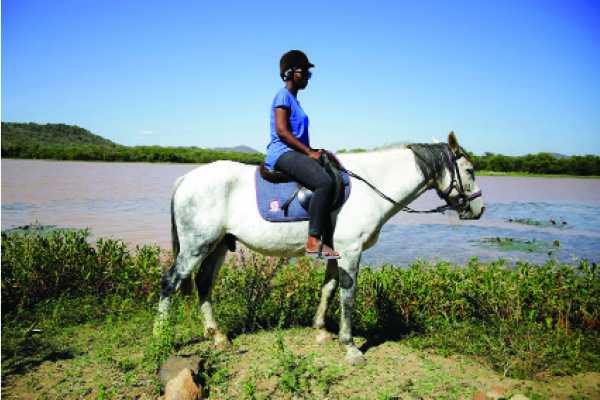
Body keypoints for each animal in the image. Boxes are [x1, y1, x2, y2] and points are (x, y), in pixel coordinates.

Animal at [154, 133, 482, 364]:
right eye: (469, 169)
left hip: (218, 245)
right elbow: (348, 296)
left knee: (204, 282)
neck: (370, 187)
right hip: (197, 245)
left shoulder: (336, 252)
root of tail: (186, 178)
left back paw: (217, 336)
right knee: (170, 283)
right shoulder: (351, 251)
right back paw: (161, 338)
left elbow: (328, 288)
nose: (478, 209)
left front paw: (321, 331)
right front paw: (350, 347)